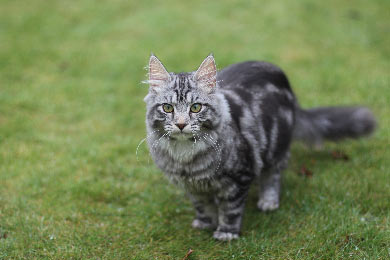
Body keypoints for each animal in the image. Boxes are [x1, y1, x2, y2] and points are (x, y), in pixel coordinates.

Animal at [142, 53, 374, 241]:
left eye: (196, 107)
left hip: (276, 148)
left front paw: (226, 232)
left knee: (273, 176)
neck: (186, 158)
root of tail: (279, 73)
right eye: (168, 108)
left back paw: (268, 201)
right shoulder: (192, 187)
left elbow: (230, 209)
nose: (181, 124)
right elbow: (203, 207)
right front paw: (206, 223)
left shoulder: (239, 177)